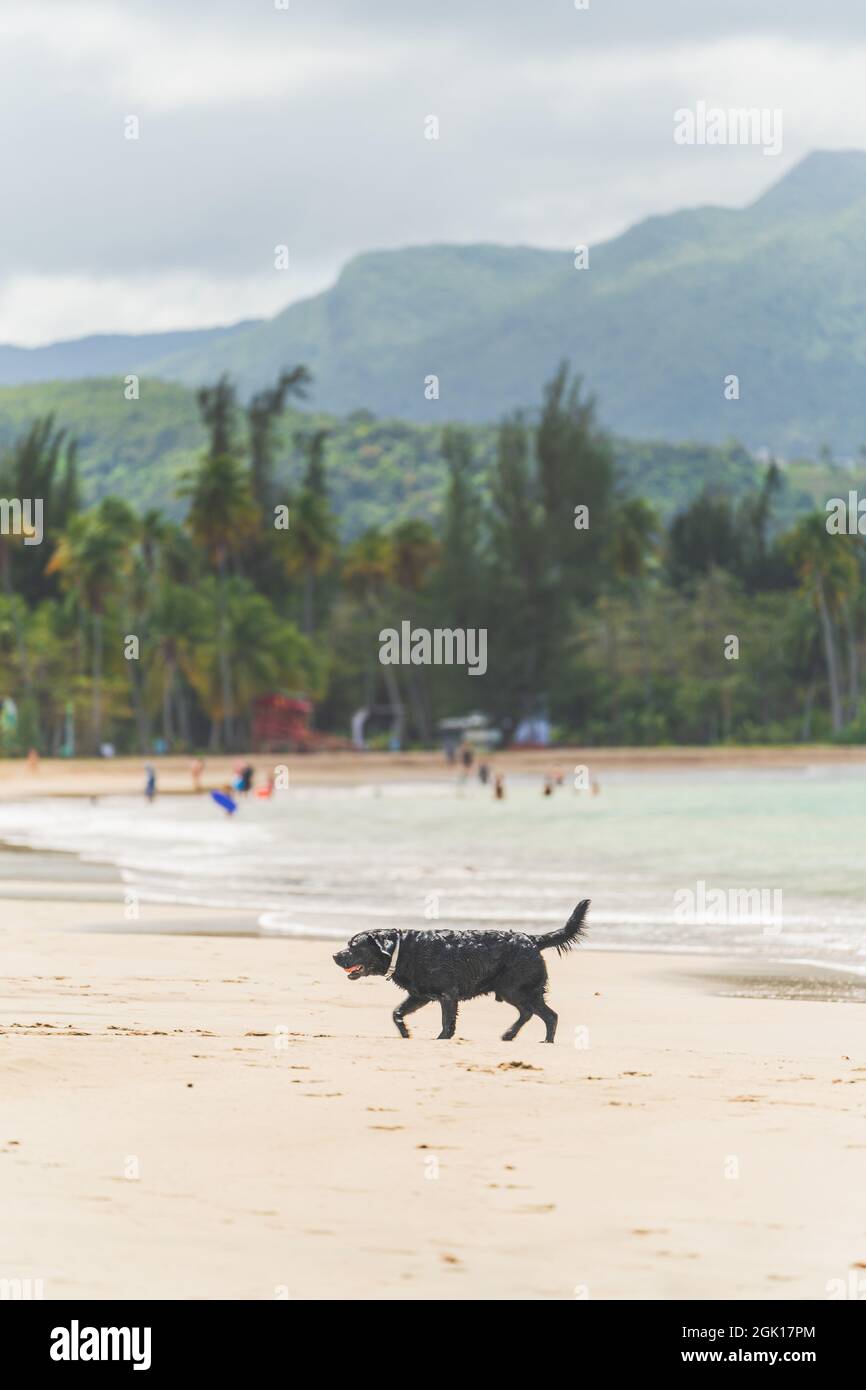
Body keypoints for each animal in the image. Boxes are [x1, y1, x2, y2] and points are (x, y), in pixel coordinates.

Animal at [332, 900, 589, 1045]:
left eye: (354, 946)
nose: (335, 955)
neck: (403, 949)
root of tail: (532, 940)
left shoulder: (447, 995)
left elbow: (447, 1022)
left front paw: (441, 1039)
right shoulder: (420, 995)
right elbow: (397, 1012)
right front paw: (405, 1033)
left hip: (515, 988)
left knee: (549, 1015)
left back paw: (546, 1040)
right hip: (512, 990)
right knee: (529, 1013)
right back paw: (510, 1035)